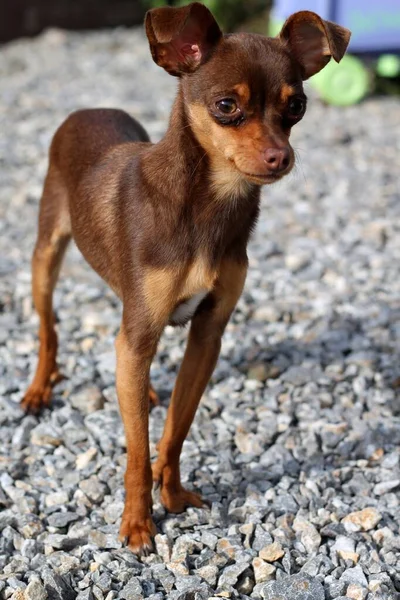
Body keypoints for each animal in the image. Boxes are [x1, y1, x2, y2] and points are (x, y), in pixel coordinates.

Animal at [21, 2, 350, 552]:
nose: (281, 157)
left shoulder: (207, 334)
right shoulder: (142, 330)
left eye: (298, 106)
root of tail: (88, 109)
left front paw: (171, 495)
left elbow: (175, 429)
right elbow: (136, 451)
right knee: (49, 329)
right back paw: (39, 388)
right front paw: (138, 522)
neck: (208, 207)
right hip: (46, 255)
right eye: (226, 106)